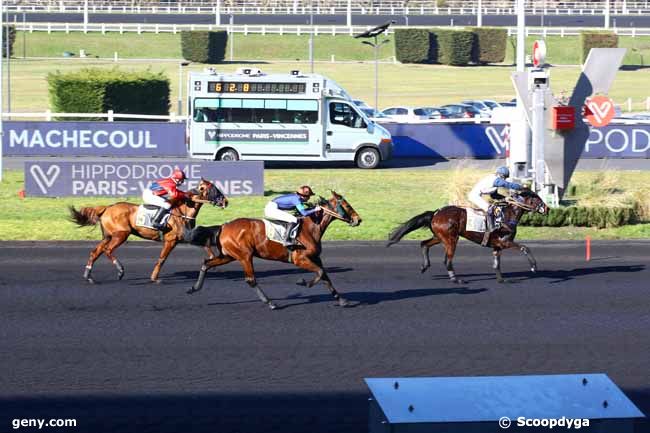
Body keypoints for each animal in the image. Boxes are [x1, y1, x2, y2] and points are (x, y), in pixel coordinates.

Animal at [69, 177, 227, 282]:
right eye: (213, 188)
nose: (225, 201)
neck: (183, 210)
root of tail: (107, 208)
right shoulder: (170, 240)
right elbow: (162, 259)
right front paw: (154, 277)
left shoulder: (186, 237)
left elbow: (206, 247)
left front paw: (212, 261)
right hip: (121, 235)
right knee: (108, 250)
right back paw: (120, 271)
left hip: (108, 236)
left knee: (95, 252)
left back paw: (88, 276)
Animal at [185, 191, 362, 308]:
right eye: (347, 205)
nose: (358, 219)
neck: (311, 227)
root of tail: (223, 226)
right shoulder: (299, 259)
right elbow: (318, 272)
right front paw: (303, 282)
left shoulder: (315, 257)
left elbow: (325, 275)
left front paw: (342, 300)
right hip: (245, 256)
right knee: (251, 279)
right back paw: (270, 302)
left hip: (229, 255)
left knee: (206, 263)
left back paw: (194, 288)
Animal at [384, 189, 548, 284]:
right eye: (537, 198)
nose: (547, 208)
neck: (507, 215)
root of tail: (435, 213)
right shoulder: (505, 242)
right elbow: (525, 247)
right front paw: (533, 267)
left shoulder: (497, 245)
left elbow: (497, 264)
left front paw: (501, 279)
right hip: (451, 239)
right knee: (447, 260)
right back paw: (455, 279)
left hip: (441, 237)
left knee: (424, 244)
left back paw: (425, 266)